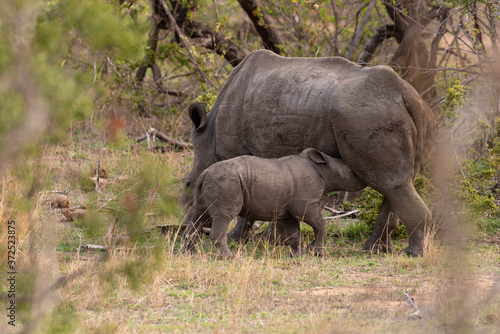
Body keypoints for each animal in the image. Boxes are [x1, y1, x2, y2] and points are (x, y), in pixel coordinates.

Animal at [183, 148, 364, 258]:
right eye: (351, 171)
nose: (363, 179)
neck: (323, 169)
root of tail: (205, 173)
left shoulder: (288, 208)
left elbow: (294, 233)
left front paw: (299, 255)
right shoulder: (305, 204)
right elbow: (320, 224)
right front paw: (317, 253)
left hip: (209, 182)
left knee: (199, 214)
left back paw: (190, 254)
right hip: (227, 182)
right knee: (223, 216)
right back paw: (231, 257)